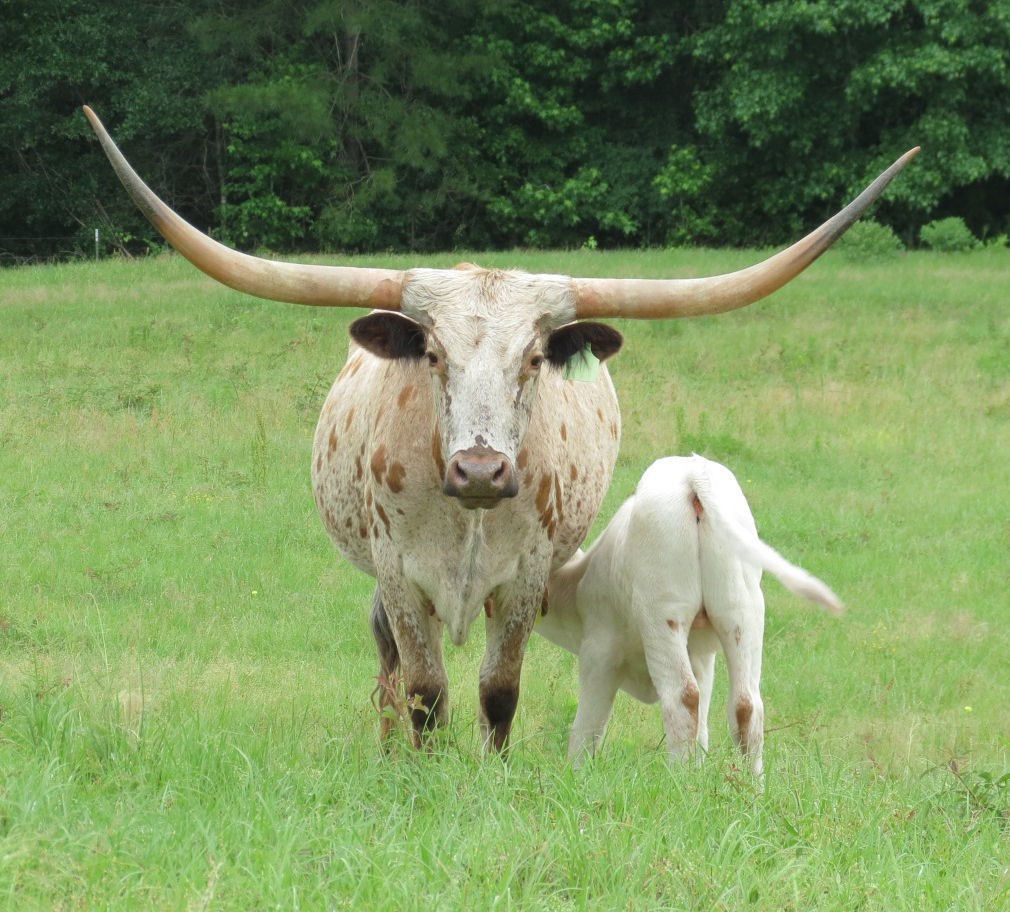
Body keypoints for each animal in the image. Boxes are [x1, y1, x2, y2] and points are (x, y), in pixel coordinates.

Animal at [539, 454, 843, 774]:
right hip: (743, 612)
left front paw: (574, 775)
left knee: (682, 697)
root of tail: (693, 473)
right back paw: (750, 784)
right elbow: (703, 733)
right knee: (746, 705)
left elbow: (587, 729)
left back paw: (678, 781)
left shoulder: (599, 655)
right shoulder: (702, 658)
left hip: (662, 611)